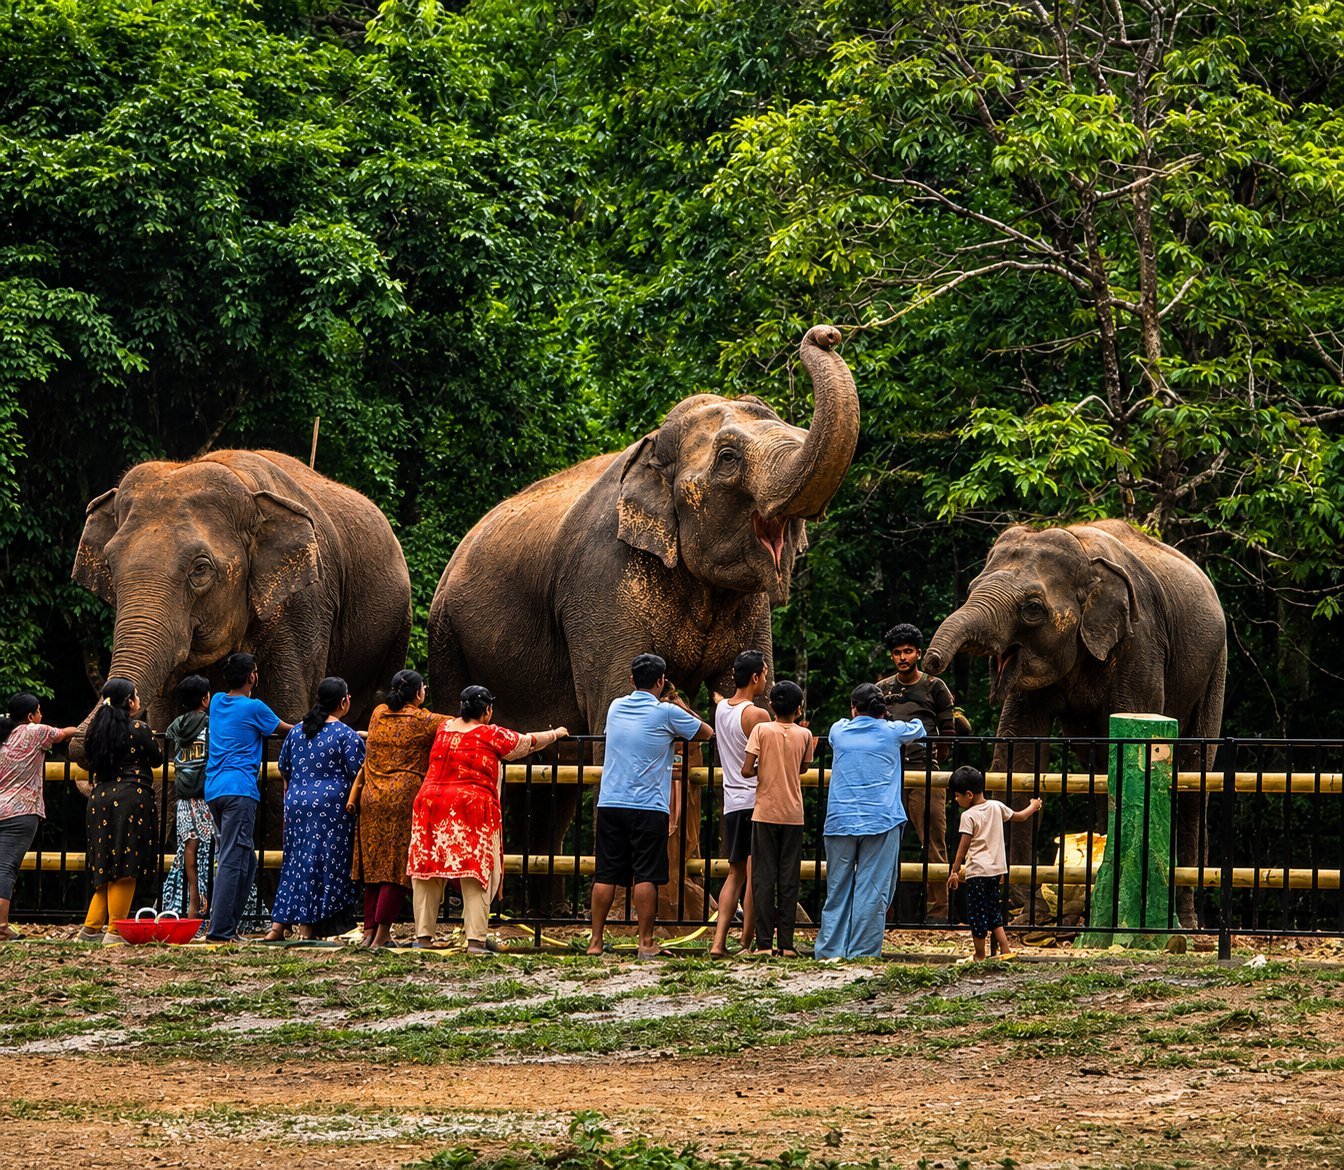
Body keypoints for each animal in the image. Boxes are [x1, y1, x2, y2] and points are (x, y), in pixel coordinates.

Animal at [72, 449, 412, 733]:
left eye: (200, 569)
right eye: (109, 564)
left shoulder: (305, 605)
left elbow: (285, 715)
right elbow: (167, 720)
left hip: (396, 628)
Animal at [429, 324, 860, 913]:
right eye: (728, 457)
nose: (826, 333)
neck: (653, 448)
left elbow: (758, 702)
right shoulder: (600, 580)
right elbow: (617, 699)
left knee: (554, 786)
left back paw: (538, 912)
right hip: (447, 636)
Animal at [922, 519, 1227, 928]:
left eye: (1032, 608)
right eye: (971, 589)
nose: (928, 662)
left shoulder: (1141, 642)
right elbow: (1021, 756)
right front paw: (1026, 914)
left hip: (1214, 668)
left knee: (1194, 774)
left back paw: (1186, 922)